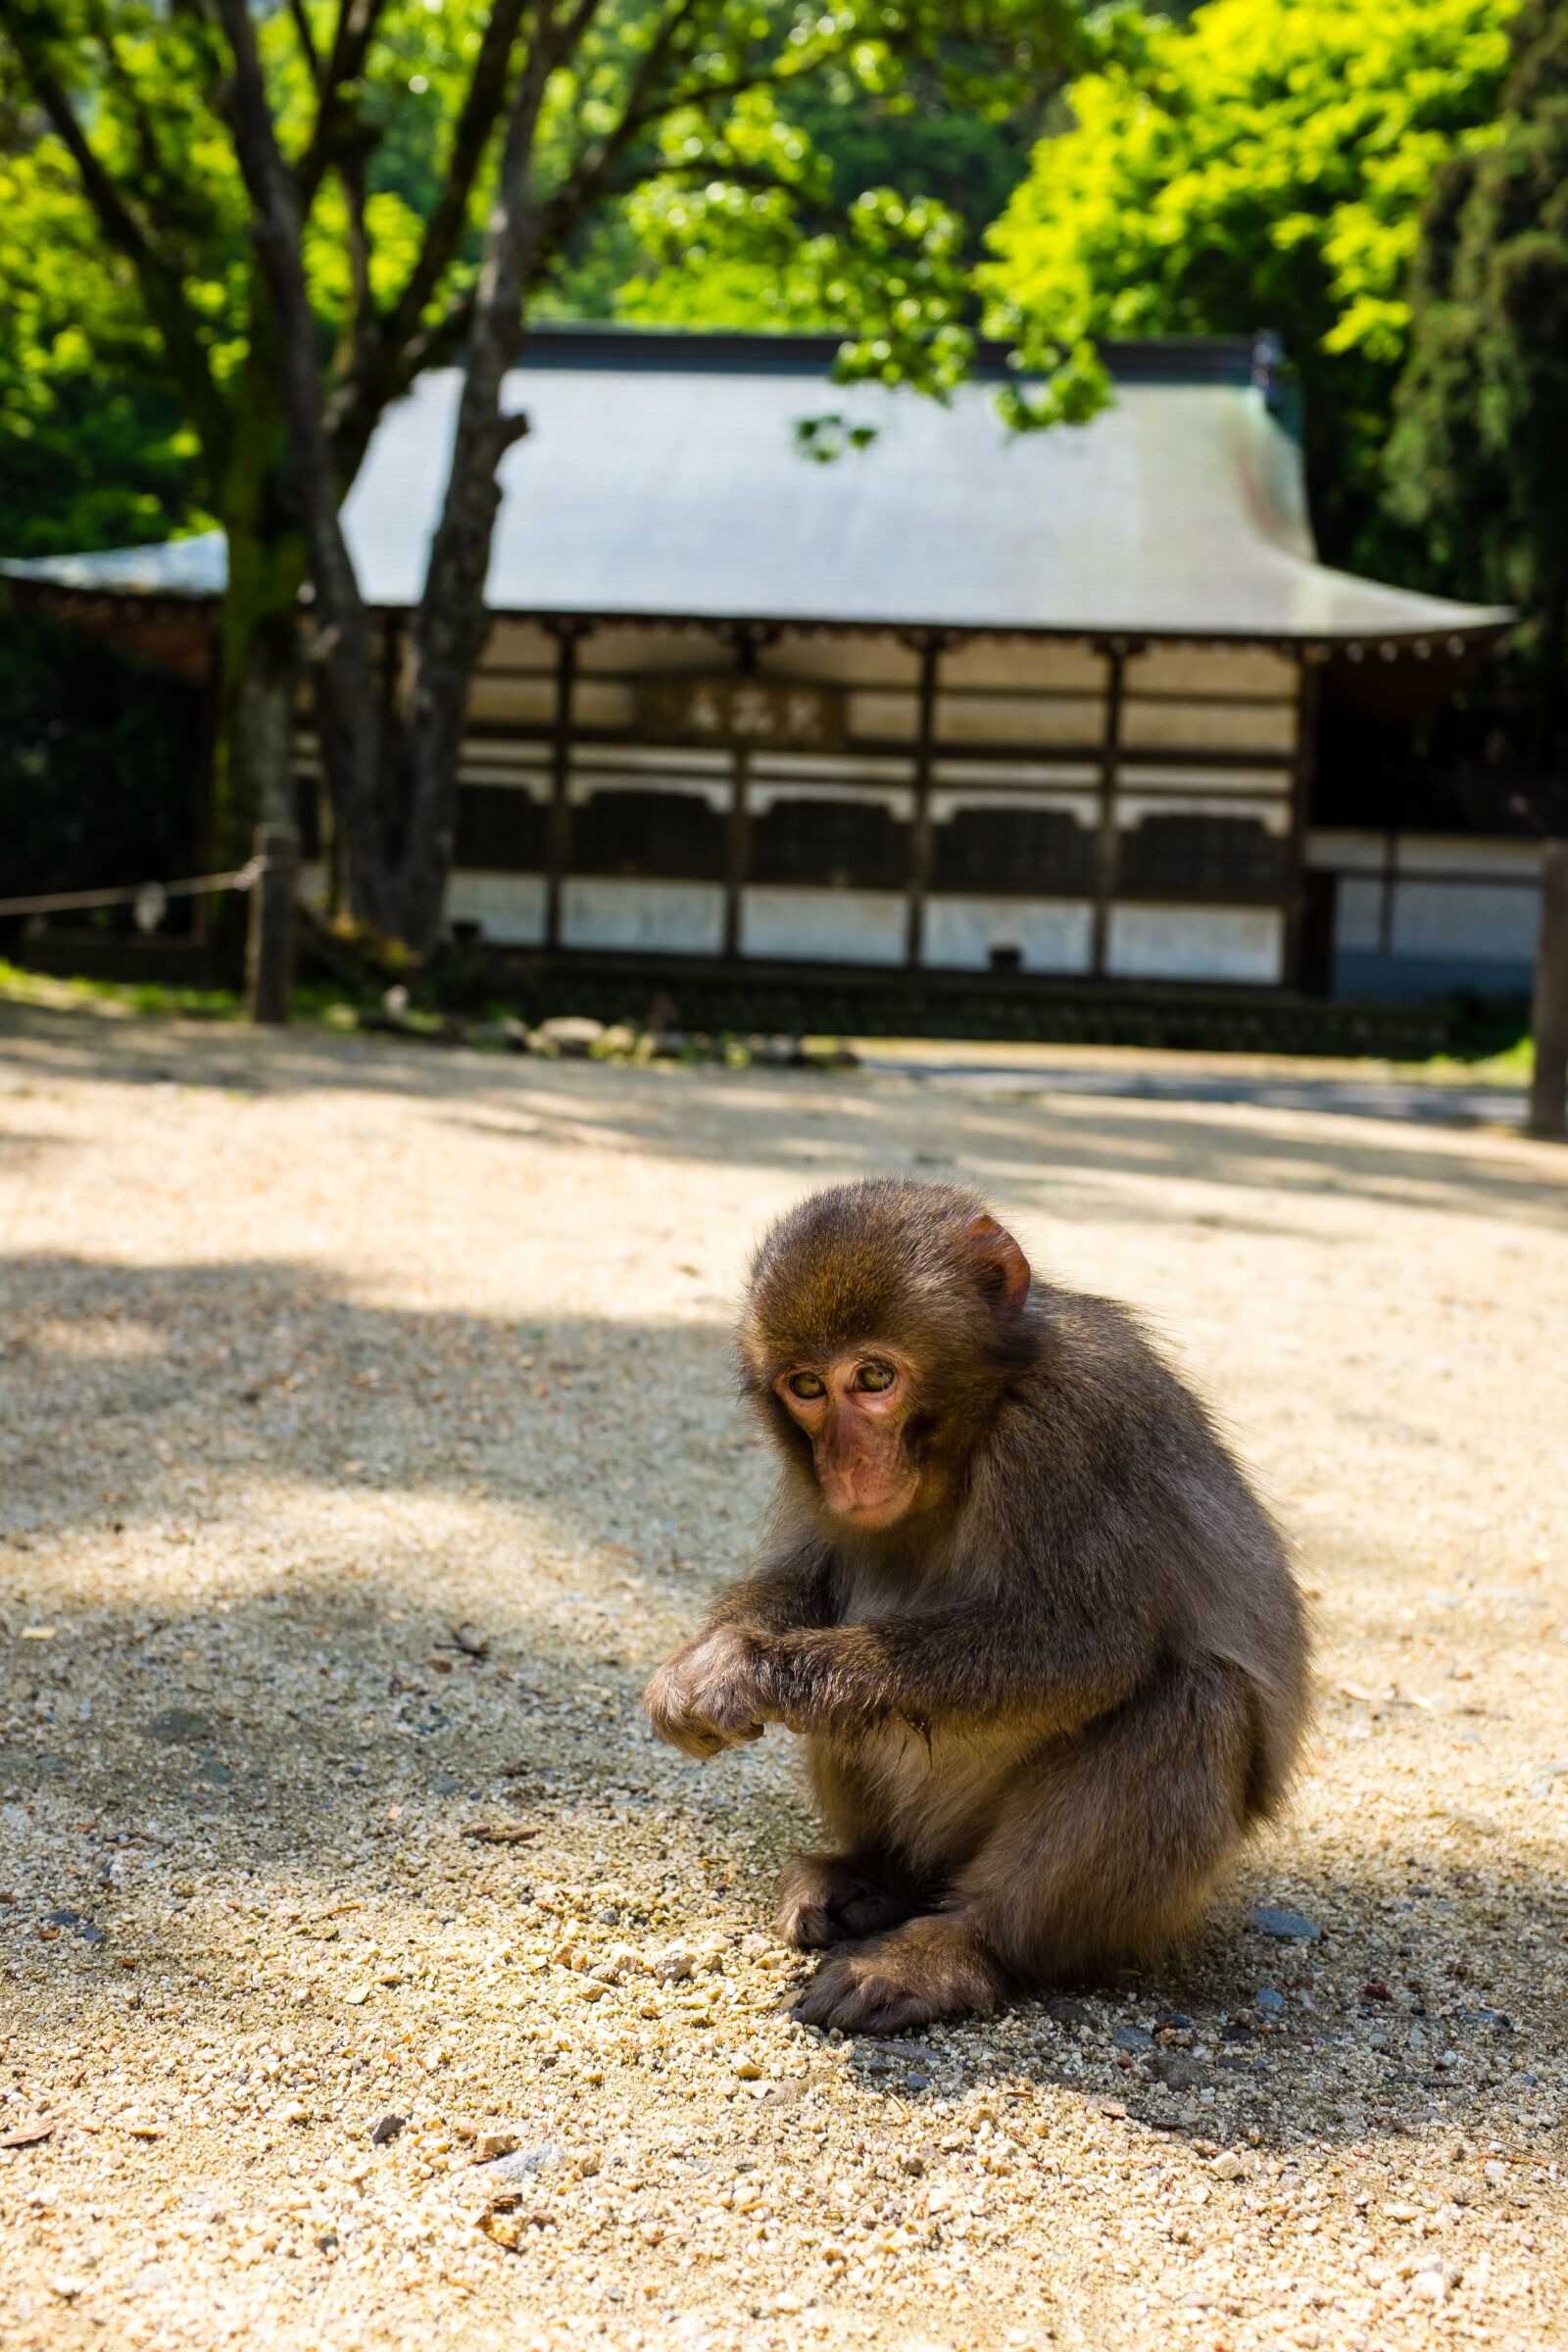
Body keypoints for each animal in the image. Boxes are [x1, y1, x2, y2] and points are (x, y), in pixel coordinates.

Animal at [639, 1185, 1316, 2032]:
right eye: (807, 1388)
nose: (846, 1463)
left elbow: (1090, 1650)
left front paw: (759, 1670)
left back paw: (960, 1947)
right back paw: (875, 1877)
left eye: (873, 1376)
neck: (979, 1420)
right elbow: (810, 1576)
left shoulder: (1066, 1426)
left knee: (1195, 1698)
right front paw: (705, 1660)